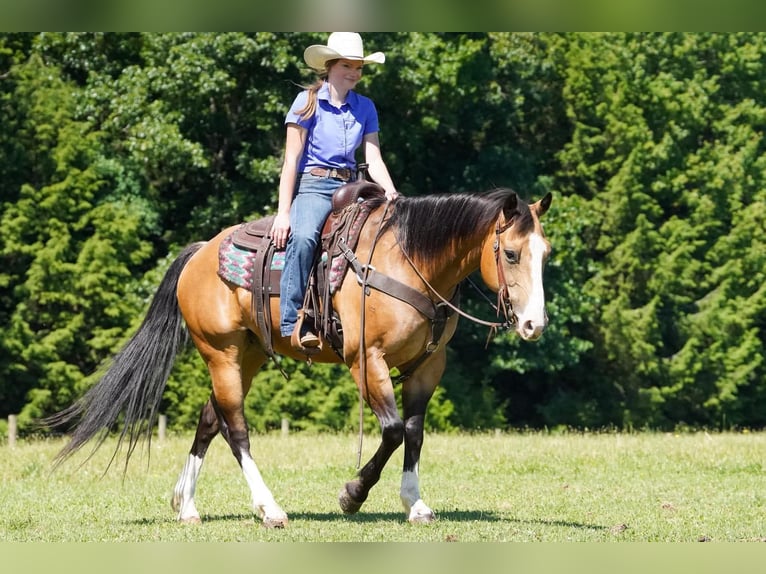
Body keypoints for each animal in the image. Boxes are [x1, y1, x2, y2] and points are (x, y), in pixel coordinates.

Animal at [44, 186, 552, 527]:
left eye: (544, 253)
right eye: (510, 254)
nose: (534, 324)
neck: (408, 262)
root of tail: (201, 252)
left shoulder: (429, 366)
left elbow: (414, 432)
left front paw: (415, 503)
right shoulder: (366, 360)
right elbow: (391, 431)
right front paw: (352, 494)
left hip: (247, 355)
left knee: (210, 419)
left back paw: (186, 505)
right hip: (222, 352)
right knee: (235, 428)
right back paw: (269, 508)